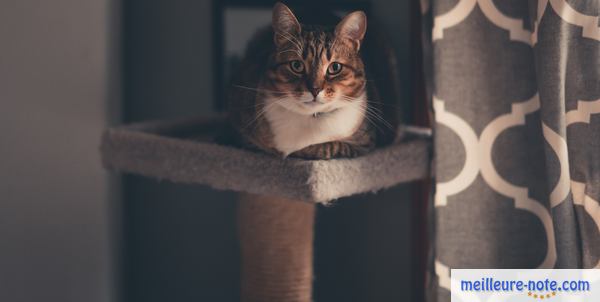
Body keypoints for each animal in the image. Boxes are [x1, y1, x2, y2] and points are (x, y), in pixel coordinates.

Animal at [226, 2, 394, 160]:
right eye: (296, 65)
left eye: (335, 67)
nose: (314, 89)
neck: (311, 117)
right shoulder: (241, 132)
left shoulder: (364, 142)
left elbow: (327, 146)